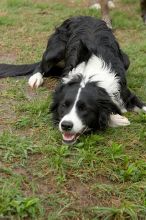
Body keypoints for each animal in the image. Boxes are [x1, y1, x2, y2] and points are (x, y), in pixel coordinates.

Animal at [0, 16, 145, 144]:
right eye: (64, 106)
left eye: (84, 109)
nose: (66, 125)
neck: (88, 76)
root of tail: (81, 16)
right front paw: (117, 119)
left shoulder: (126, 94)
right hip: (55, 50)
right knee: (41, 64)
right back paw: (36, 78)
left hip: (126, 59)